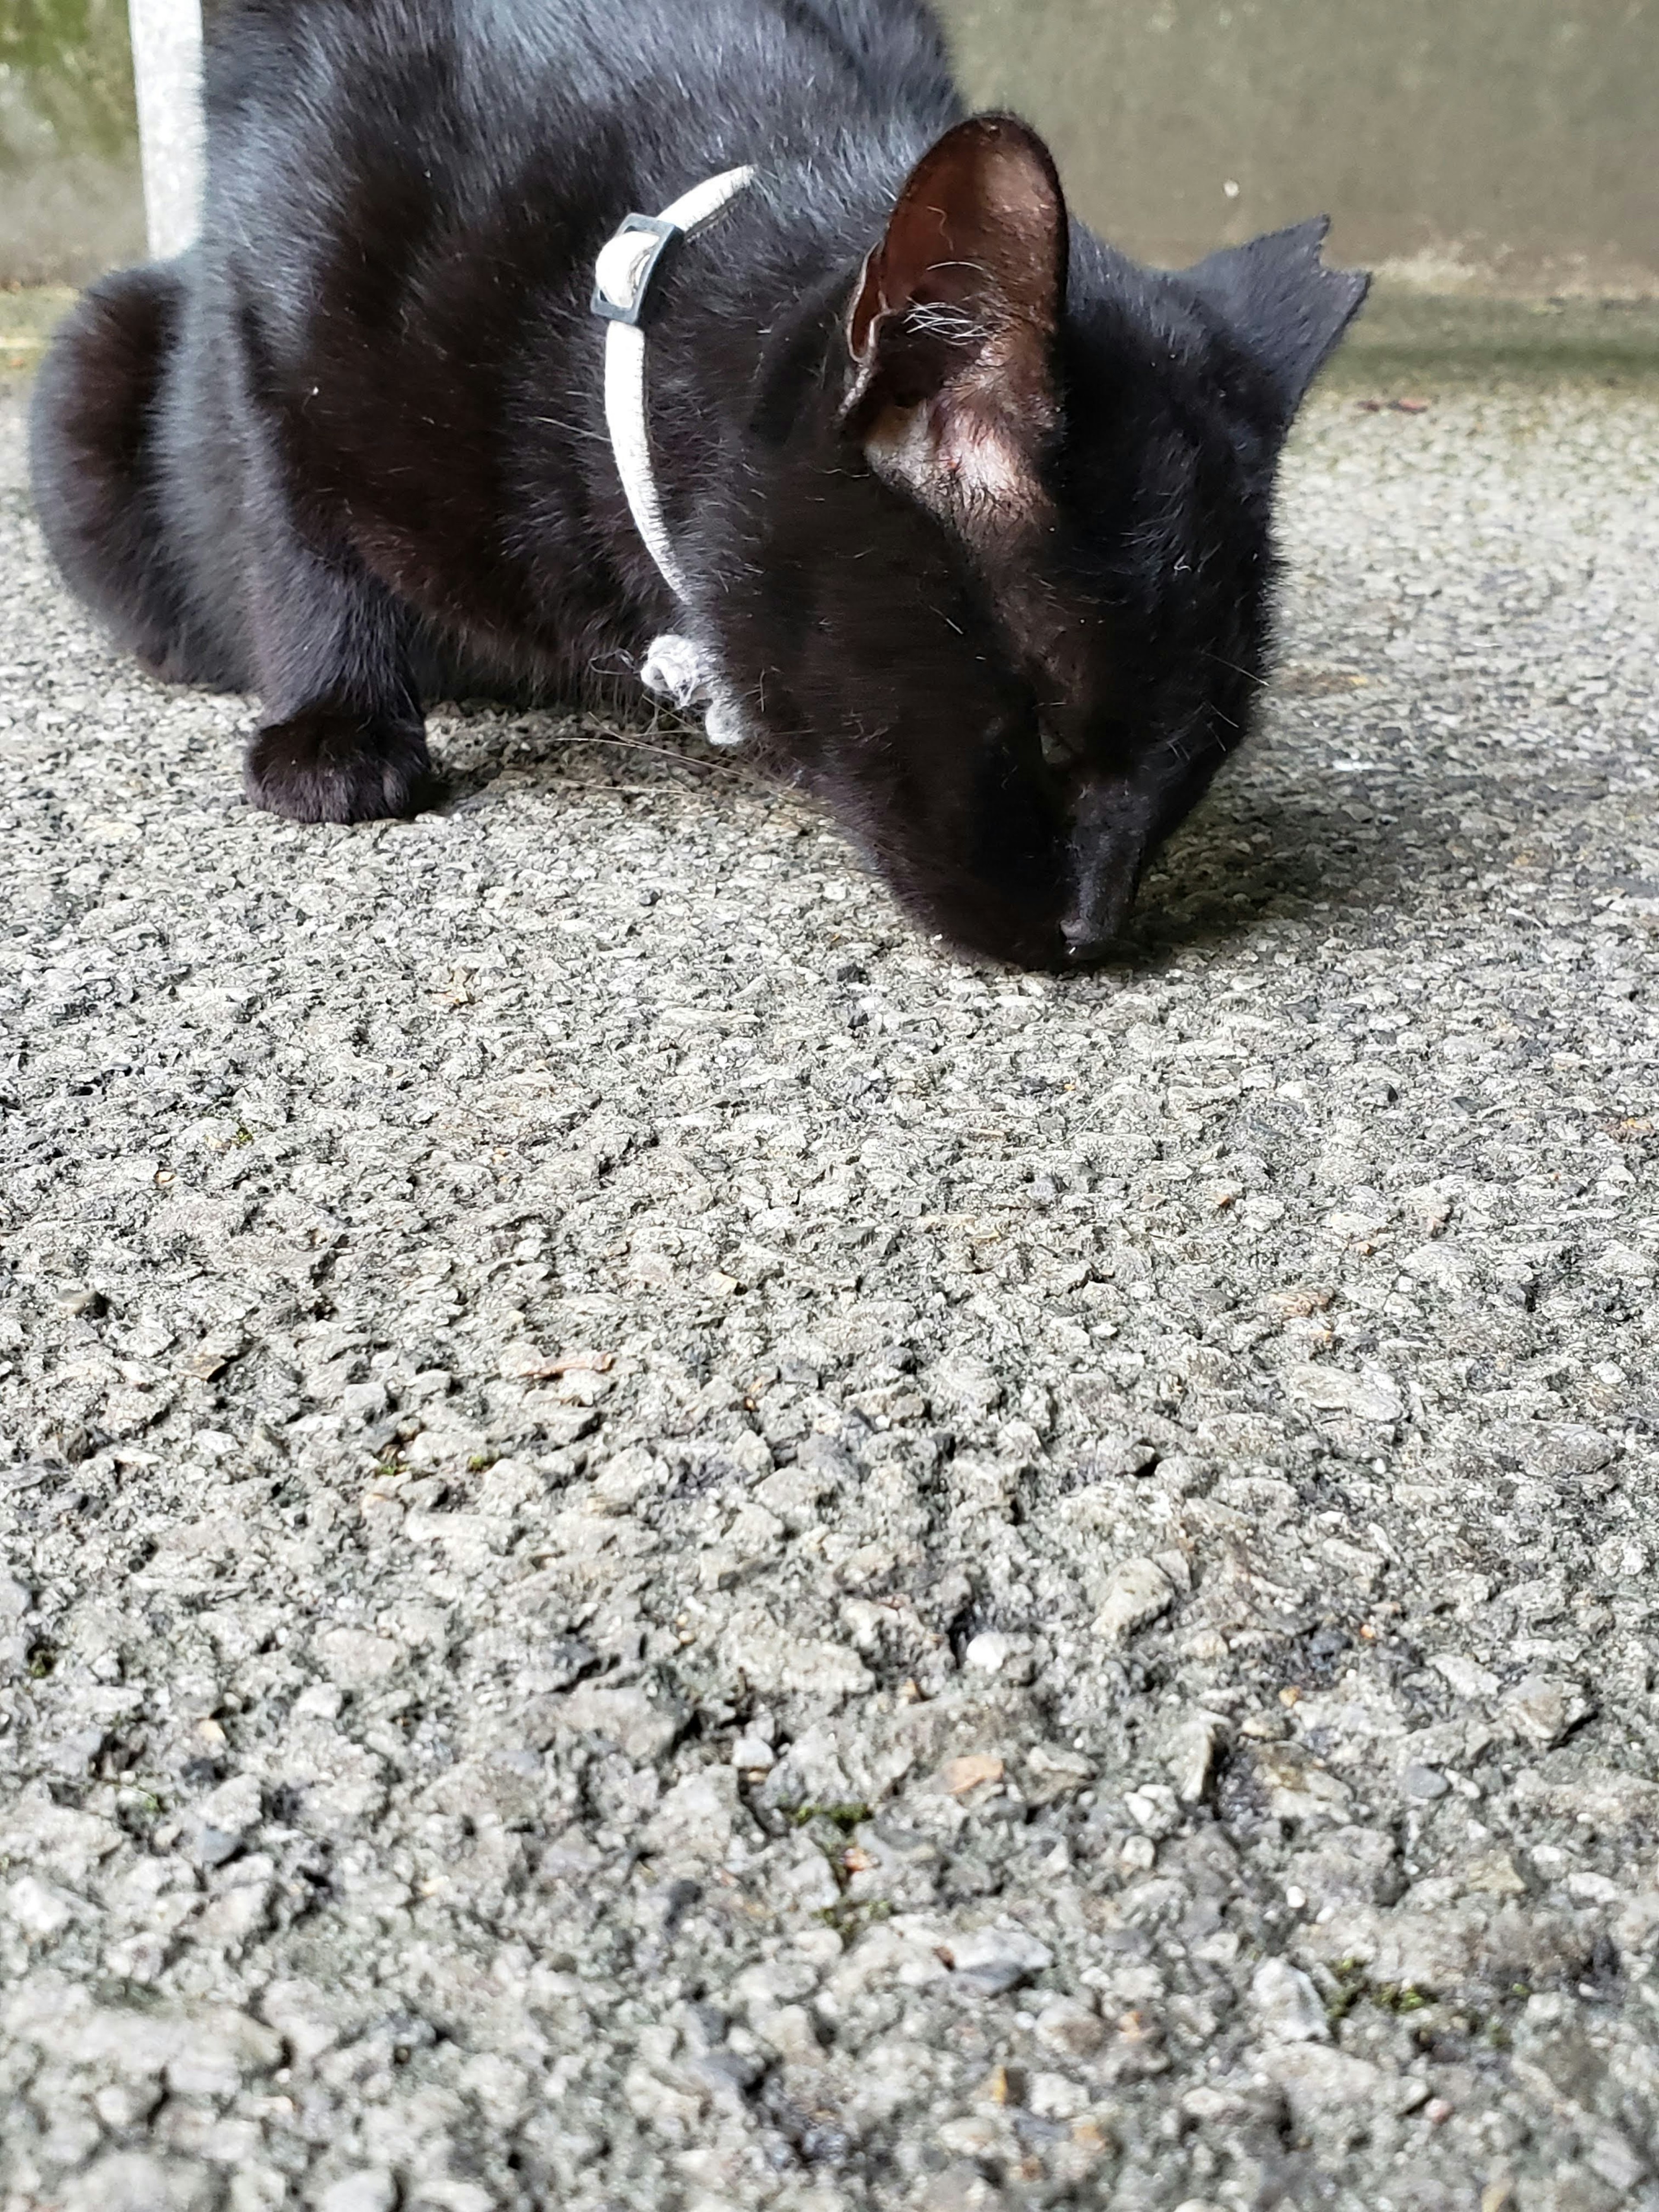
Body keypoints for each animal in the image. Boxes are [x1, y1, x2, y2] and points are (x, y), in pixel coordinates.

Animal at [32, 0, 1371, 969]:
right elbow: (291, 508)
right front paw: (337, 730)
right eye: (1046, 730)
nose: (1094, 931)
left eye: (1205, 759)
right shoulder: (279, 275)